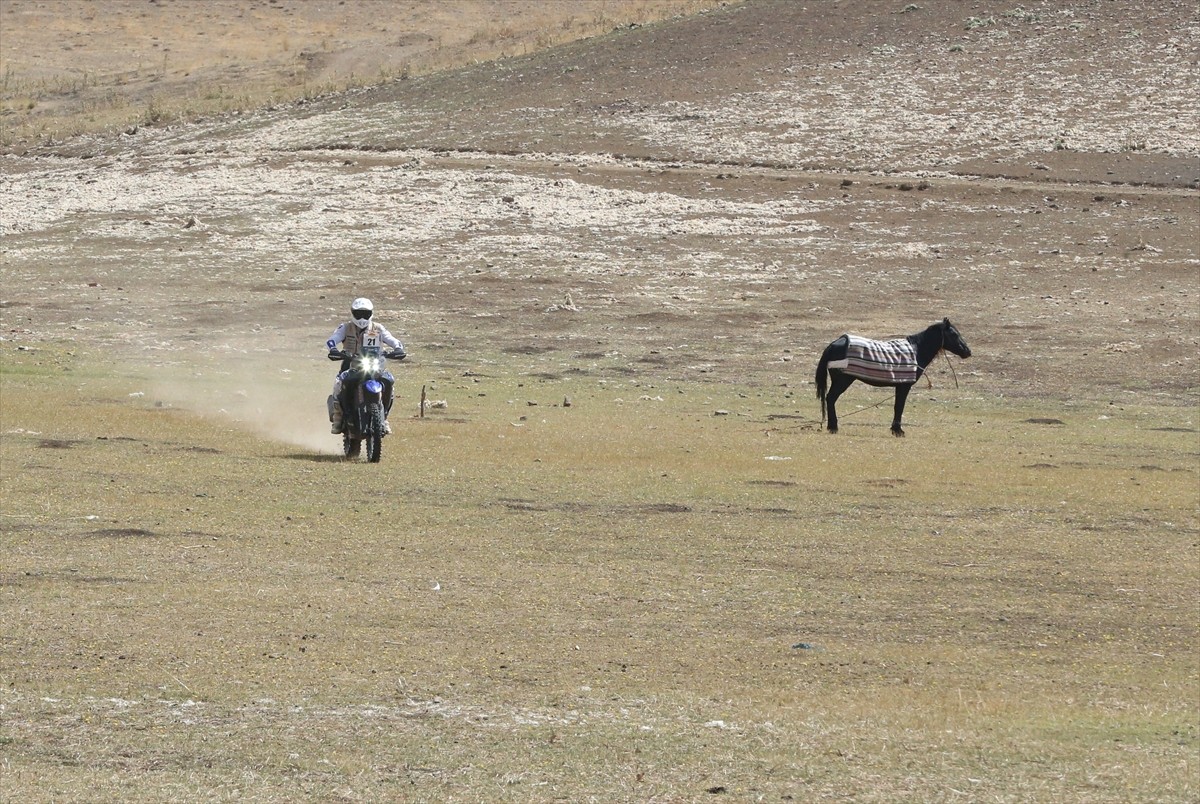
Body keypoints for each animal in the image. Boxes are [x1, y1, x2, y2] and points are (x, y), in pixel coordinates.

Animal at [816, 319, 974, 436]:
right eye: (954, 334)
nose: (968, 352)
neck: (917, 350)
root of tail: (834, 344)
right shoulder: (904, 386)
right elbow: (899, 406)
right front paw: (898, 431)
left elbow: (897, 406)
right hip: (843, 381)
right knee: (831, 398)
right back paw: (833, 427)